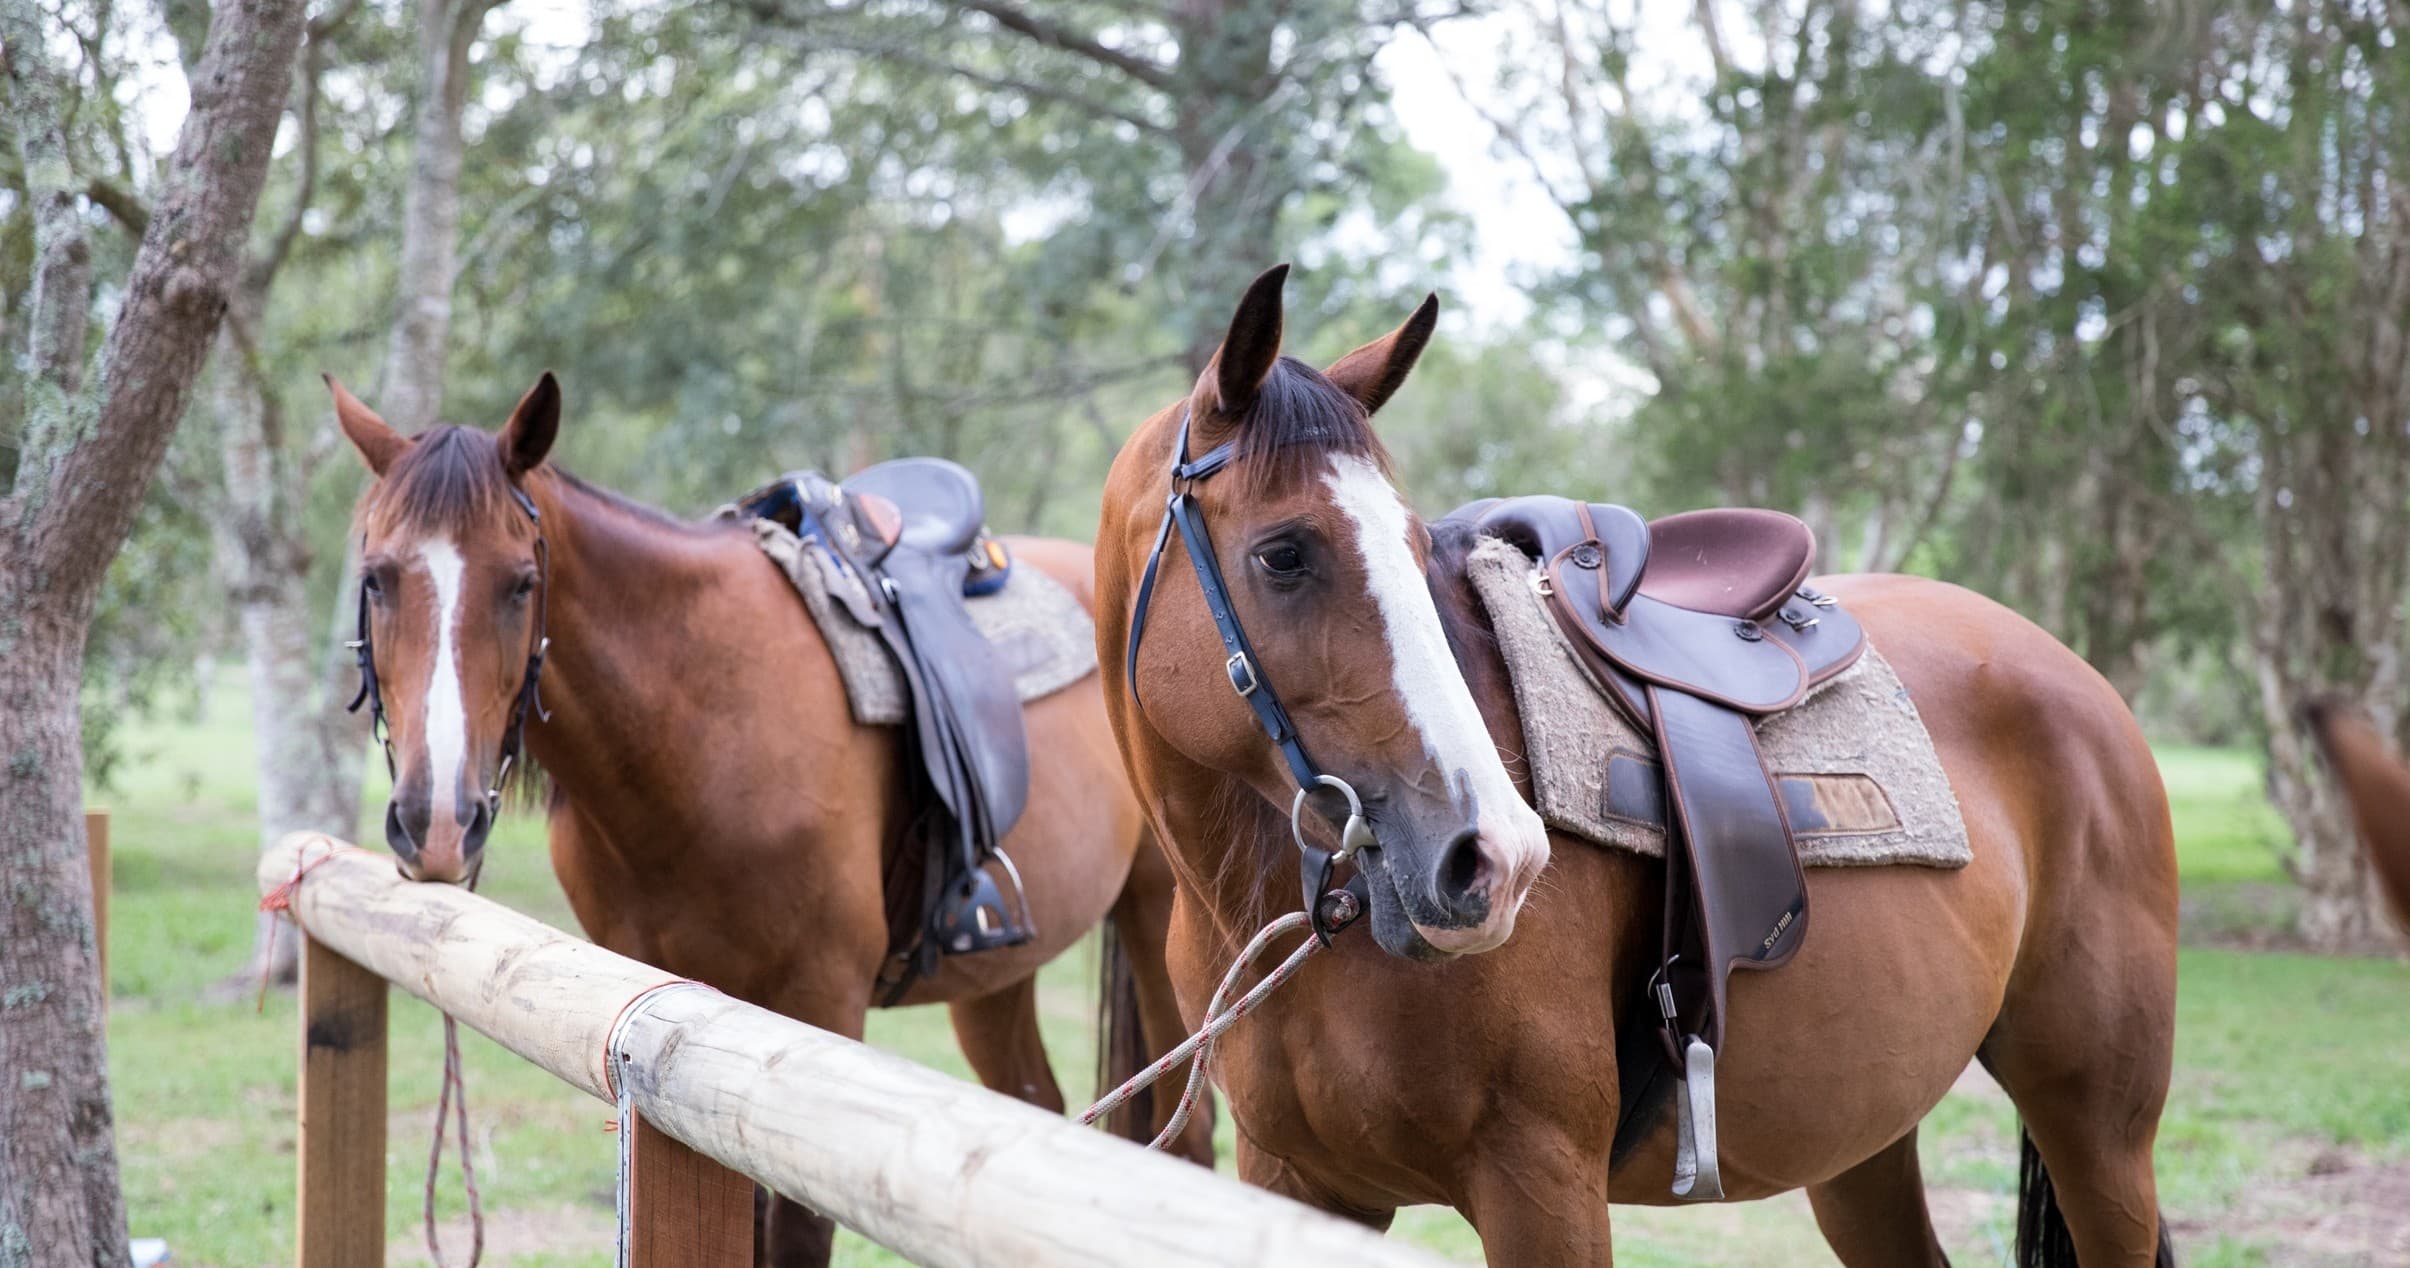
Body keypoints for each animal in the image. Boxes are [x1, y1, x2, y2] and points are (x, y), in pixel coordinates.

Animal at [328, 372, 1212, 1265]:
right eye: (374, 579)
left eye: (519, 583)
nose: (436, 822)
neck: (694, 731)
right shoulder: (671, 1022)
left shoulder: (816, 1009)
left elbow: (791, 1231)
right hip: (997, 979)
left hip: (1158, 922)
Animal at [1092, 265, 2181, 1265]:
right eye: (1284, 553)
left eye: (1414, 543)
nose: (1496, 859)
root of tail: (2084, 689)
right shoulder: (1295, 1181)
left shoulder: (1541, 1182)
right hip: (1864, 1137)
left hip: (2098, 1131)